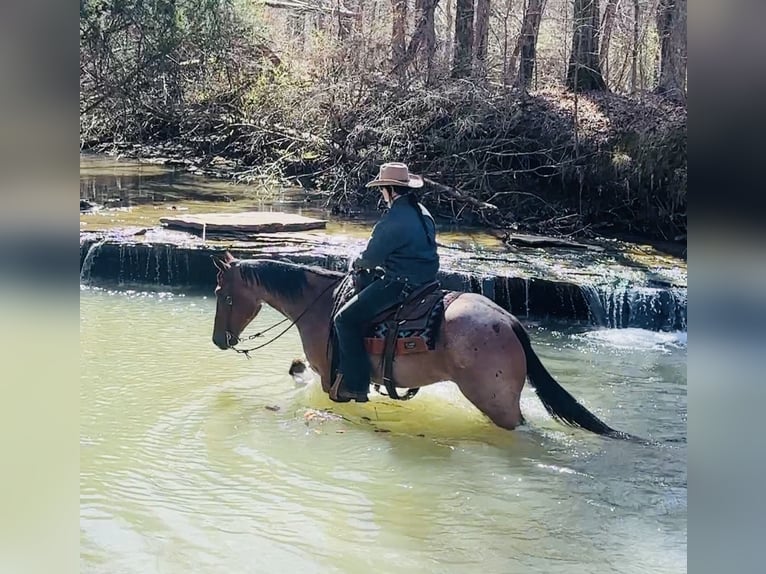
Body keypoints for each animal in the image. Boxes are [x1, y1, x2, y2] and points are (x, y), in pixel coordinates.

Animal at [211, 252, 636, 440]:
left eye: (222, 295)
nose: (219, 340)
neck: (319, 304)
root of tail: (510, 322)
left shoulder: (332, 378)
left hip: (496, 401)